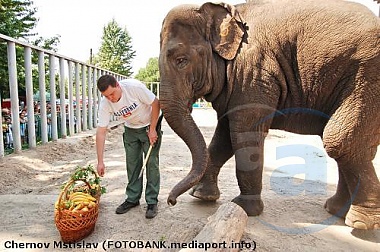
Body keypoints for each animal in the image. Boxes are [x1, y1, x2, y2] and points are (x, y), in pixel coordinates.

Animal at [158, 0, 380, 230]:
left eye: (181, 60)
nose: (171, 201)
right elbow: (223, 138)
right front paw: (202, 196)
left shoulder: (252, 74)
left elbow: (244, 135)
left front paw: (244, 208)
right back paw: (336, 211)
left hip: (366, 78)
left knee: (340, 141)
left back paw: (360, 223)